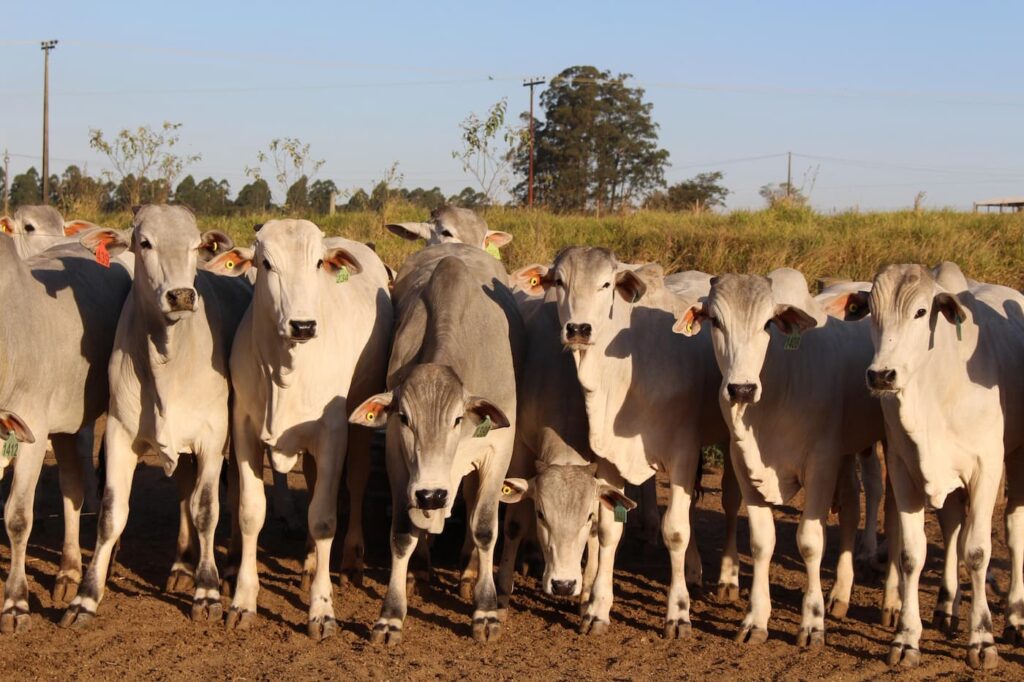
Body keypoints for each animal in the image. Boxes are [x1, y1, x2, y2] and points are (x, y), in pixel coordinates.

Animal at [0, 231, 131, 630]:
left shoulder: (30, 431)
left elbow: (18, 518)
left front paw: (15, 602)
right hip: (66, 420)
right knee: (72, 488)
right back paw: (69, 570)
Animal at [60, 205, 250, 626]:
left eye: (195, 244)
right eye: (145, 243)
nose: (181, 296)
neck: (168, 358)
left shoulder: (212, 438)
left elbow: (206, 509)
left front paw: (208, 590)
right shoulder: (119, 435)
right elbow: (112, 514)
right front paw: (86, 596)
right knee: (182, 491)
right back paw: (181, 564)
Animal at [216, 219, 391, 638]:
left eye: (317, 263)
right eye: (266, 263)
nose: (303, 325)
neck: (285, 372)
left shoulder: (333, 433)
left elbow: (324, 518)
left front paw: (321, 609)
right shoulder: (244, 430)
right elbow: (251, 512)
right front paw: (243, 601)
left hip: (360, 424)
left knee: (355, 483)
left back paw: (351, 559)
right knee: (313, 485)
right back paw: (310, 563)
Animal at [352, 241, 528, 638]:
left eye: (458, 419)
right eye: (404, 418)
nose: (431, 494)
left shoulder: (498, 452)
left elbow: (484, 528)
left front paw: (485, 609)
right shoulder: (398, 459)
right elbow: (402, 533)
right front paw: (391, 613)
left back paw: (468, 570)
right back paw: (420, 568)